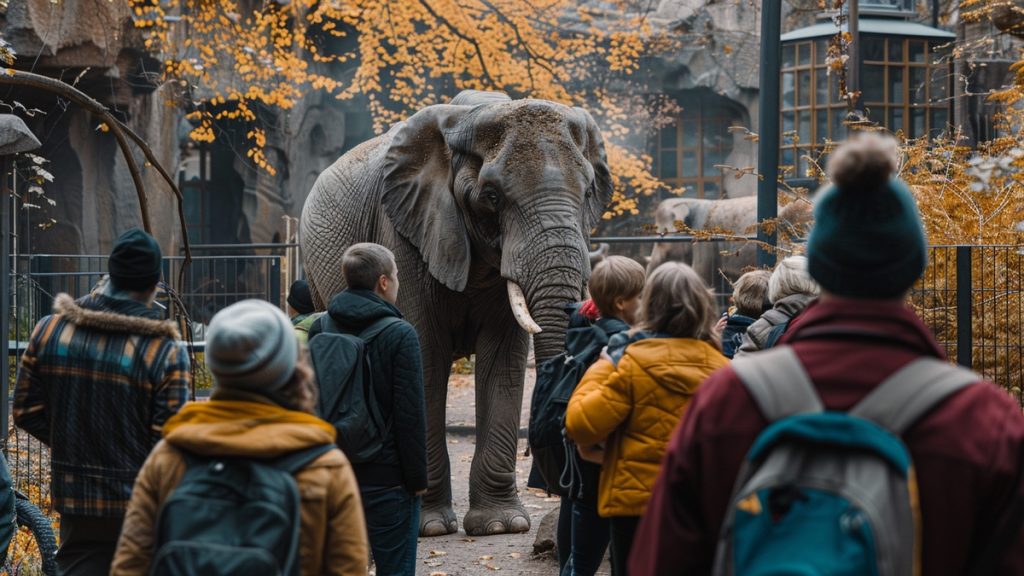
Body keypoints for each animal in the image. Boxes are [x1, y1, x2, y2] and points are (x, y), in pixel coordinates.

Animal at [299, 88, 610, 532]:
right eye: (492, 197)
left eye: (587, 194)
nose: (554, 483)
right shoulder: (404, 231)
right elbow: (425, 358)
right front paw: (430, 526)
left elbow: (503, 360)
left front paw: (501, 525)